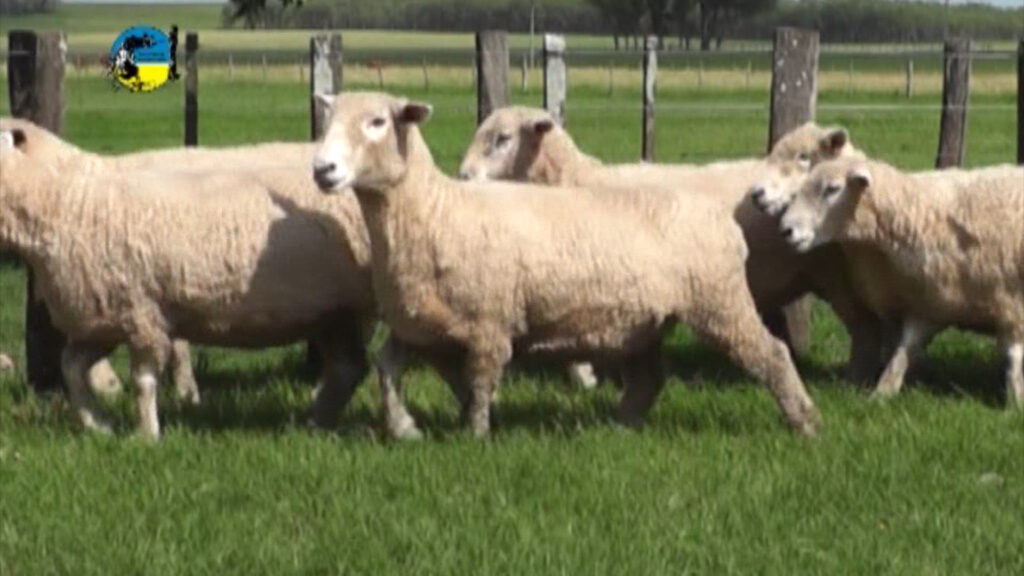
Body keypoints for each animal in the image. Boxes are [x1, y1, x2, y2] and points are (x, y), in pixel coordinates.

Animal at [0, 125, 393, 439]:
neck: (67, 198)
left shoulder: (143, 314)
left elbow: (143, 381)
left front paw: (147, 435)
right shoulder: (105, 318)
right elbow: (71, 369)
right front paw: (99, 424)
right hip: (335, 312)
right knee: (348, 368)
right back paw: (315, 421)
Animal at [311, 92, 820, 437]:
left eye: (377, 122)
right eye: (327, 121)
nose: (322, 170)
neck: (435, 211)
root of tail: (722, 220)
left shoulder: (489, 323)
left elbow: (479, 384)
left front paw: (475, 437)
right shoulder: (418, 321)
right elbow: (387, 368)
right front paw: (405, 429)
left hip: (719, 301)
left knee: (772, 353)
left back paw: (805, 422)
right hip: (642, 321)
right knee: (649, 379)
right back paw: (620, 426)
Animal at [457, 106, 883, 382]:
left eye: (502, 139)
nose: (463, 175)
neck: (571, 179)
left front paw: (584, 379)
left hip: (835, 274)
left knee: (865, 327)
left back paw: (856, 380)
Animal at [778, 156, 1024, 406]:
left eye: (832, 189)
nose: (786, 230)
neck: (920, 215)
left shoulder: (1011, 303)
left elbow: (1014, 358)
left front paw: (1016, 403)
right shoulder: (932, 303)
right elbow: (904, 351)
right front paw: (881, 394)